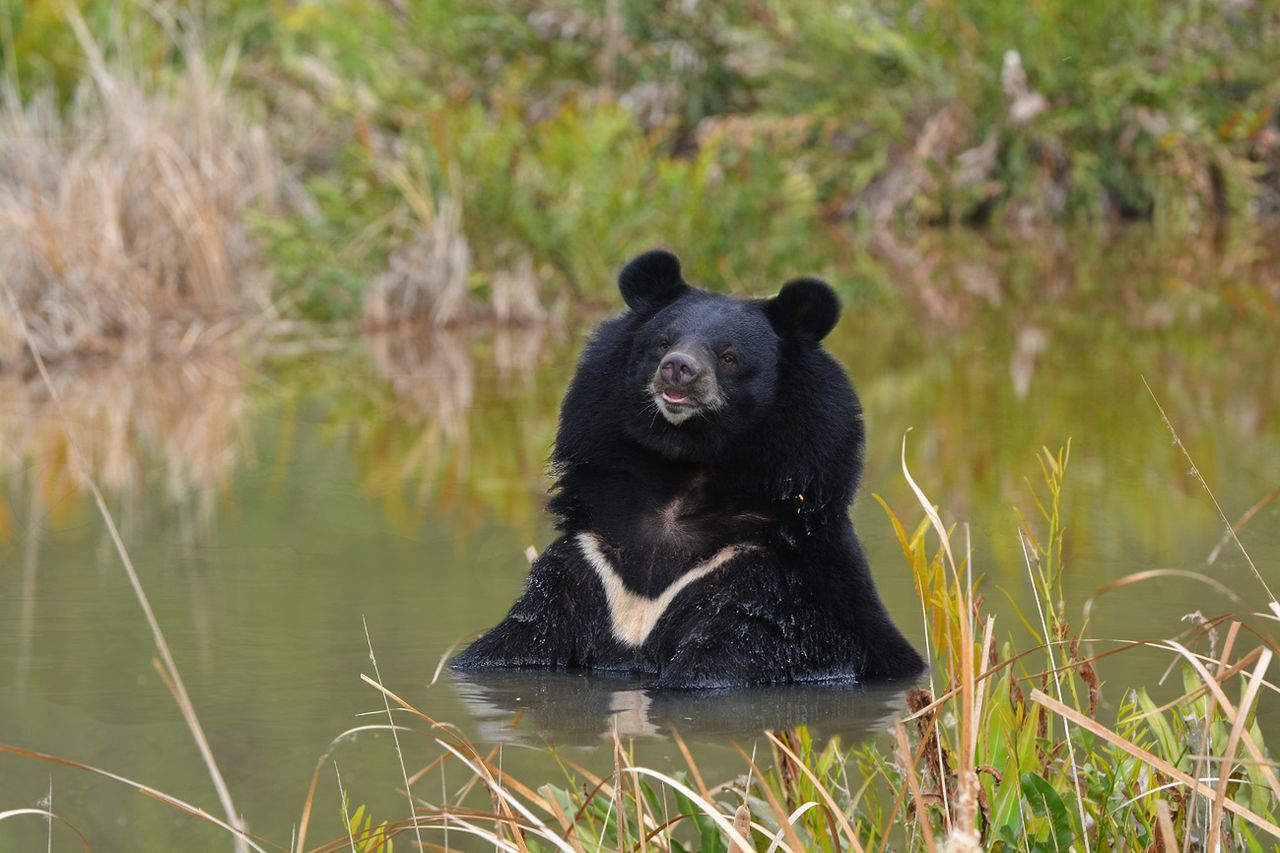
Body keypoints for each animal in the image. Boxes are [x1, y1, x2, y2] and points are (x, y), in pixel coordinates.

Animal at [455, 249, 926, 686]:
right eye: (662, 342)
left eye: (729, 356)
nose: (678, 369)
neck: (686, 466)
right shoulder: (589, 561)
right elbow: (518, 640)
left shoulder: (769, 582)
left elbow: (724, 659)